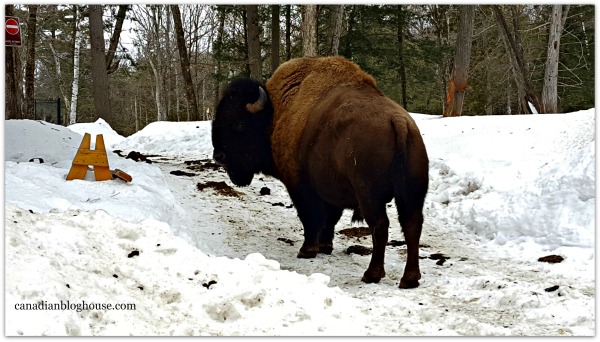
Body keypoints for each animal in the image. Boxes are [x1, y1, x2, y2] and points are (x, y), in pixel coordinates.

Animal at [211, 56, 426, 288]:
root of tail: (398, 121)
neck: (274, 114)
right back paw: (410, 278)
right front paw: (325, 247)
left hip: (370, 195)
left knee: (380, 226)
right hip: (412, 195)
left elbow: (311, 217)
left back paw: (372, 274)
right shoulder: (330, 190)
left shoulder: (300, 185)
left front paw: (307, 250)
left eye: (239, 124)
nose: (218, 156)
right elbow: (329, 219)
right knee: (412, 226)